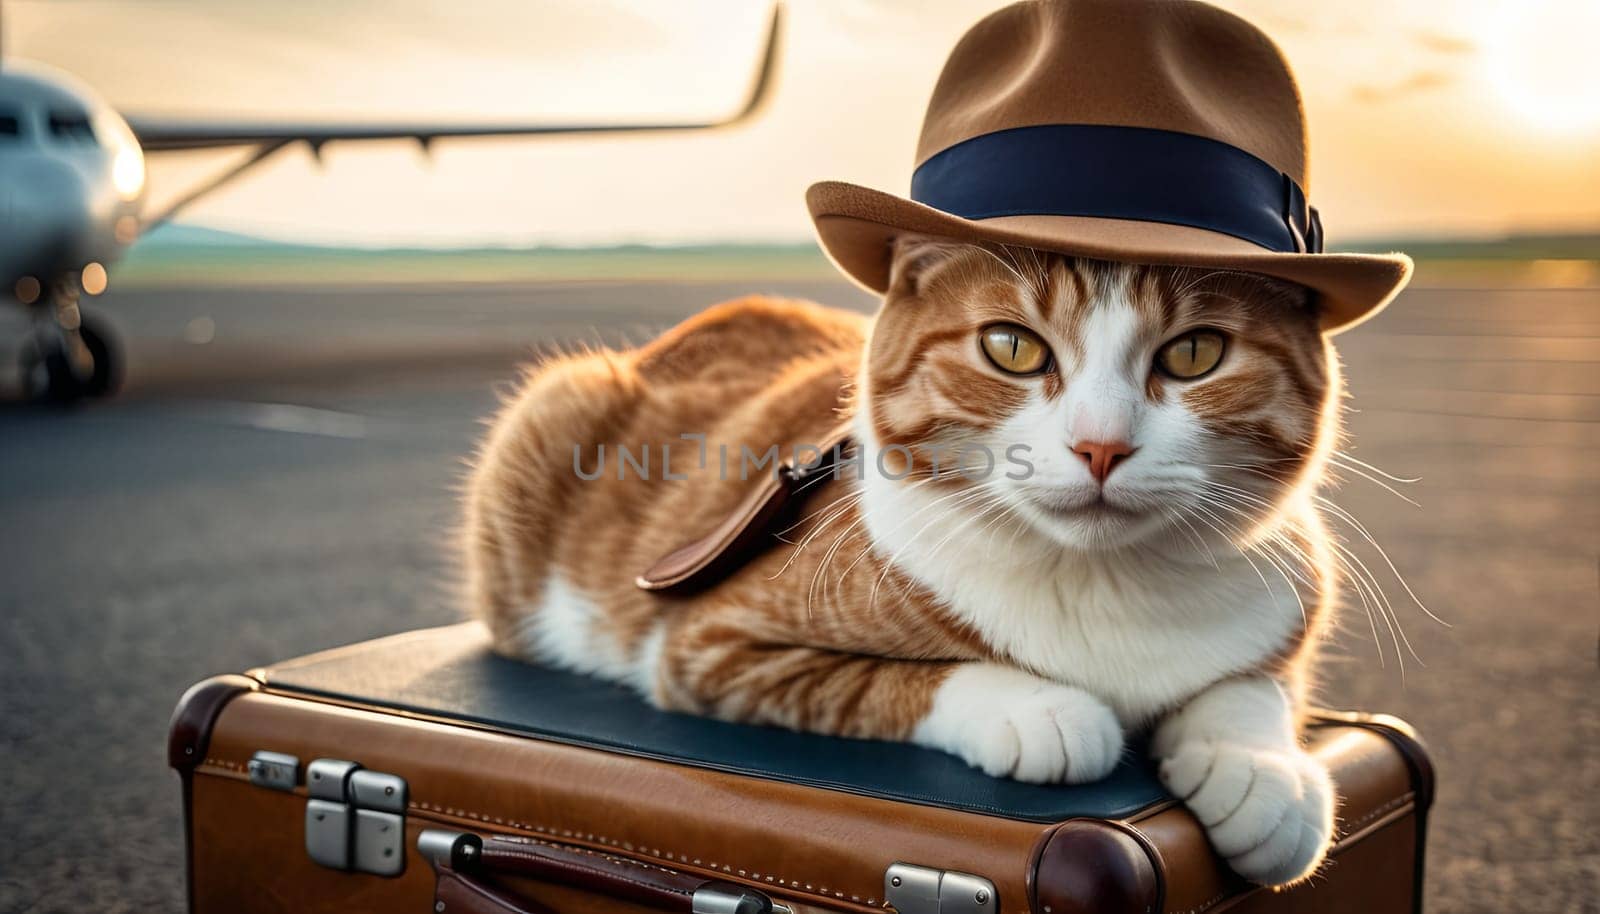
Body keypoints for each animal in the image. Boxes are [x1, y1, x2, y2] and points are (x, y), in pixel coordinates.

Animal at [467, 240, 1344, 889]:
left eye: (1194, 354)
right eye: (1012, 348)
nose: (1101, 446)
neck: (1100, 582)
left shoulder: (1287, 603)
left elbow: (1254, 686)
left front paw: (1263, 778)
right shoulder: (708, 645)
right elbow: (895, 681)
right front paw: (1040, 711)